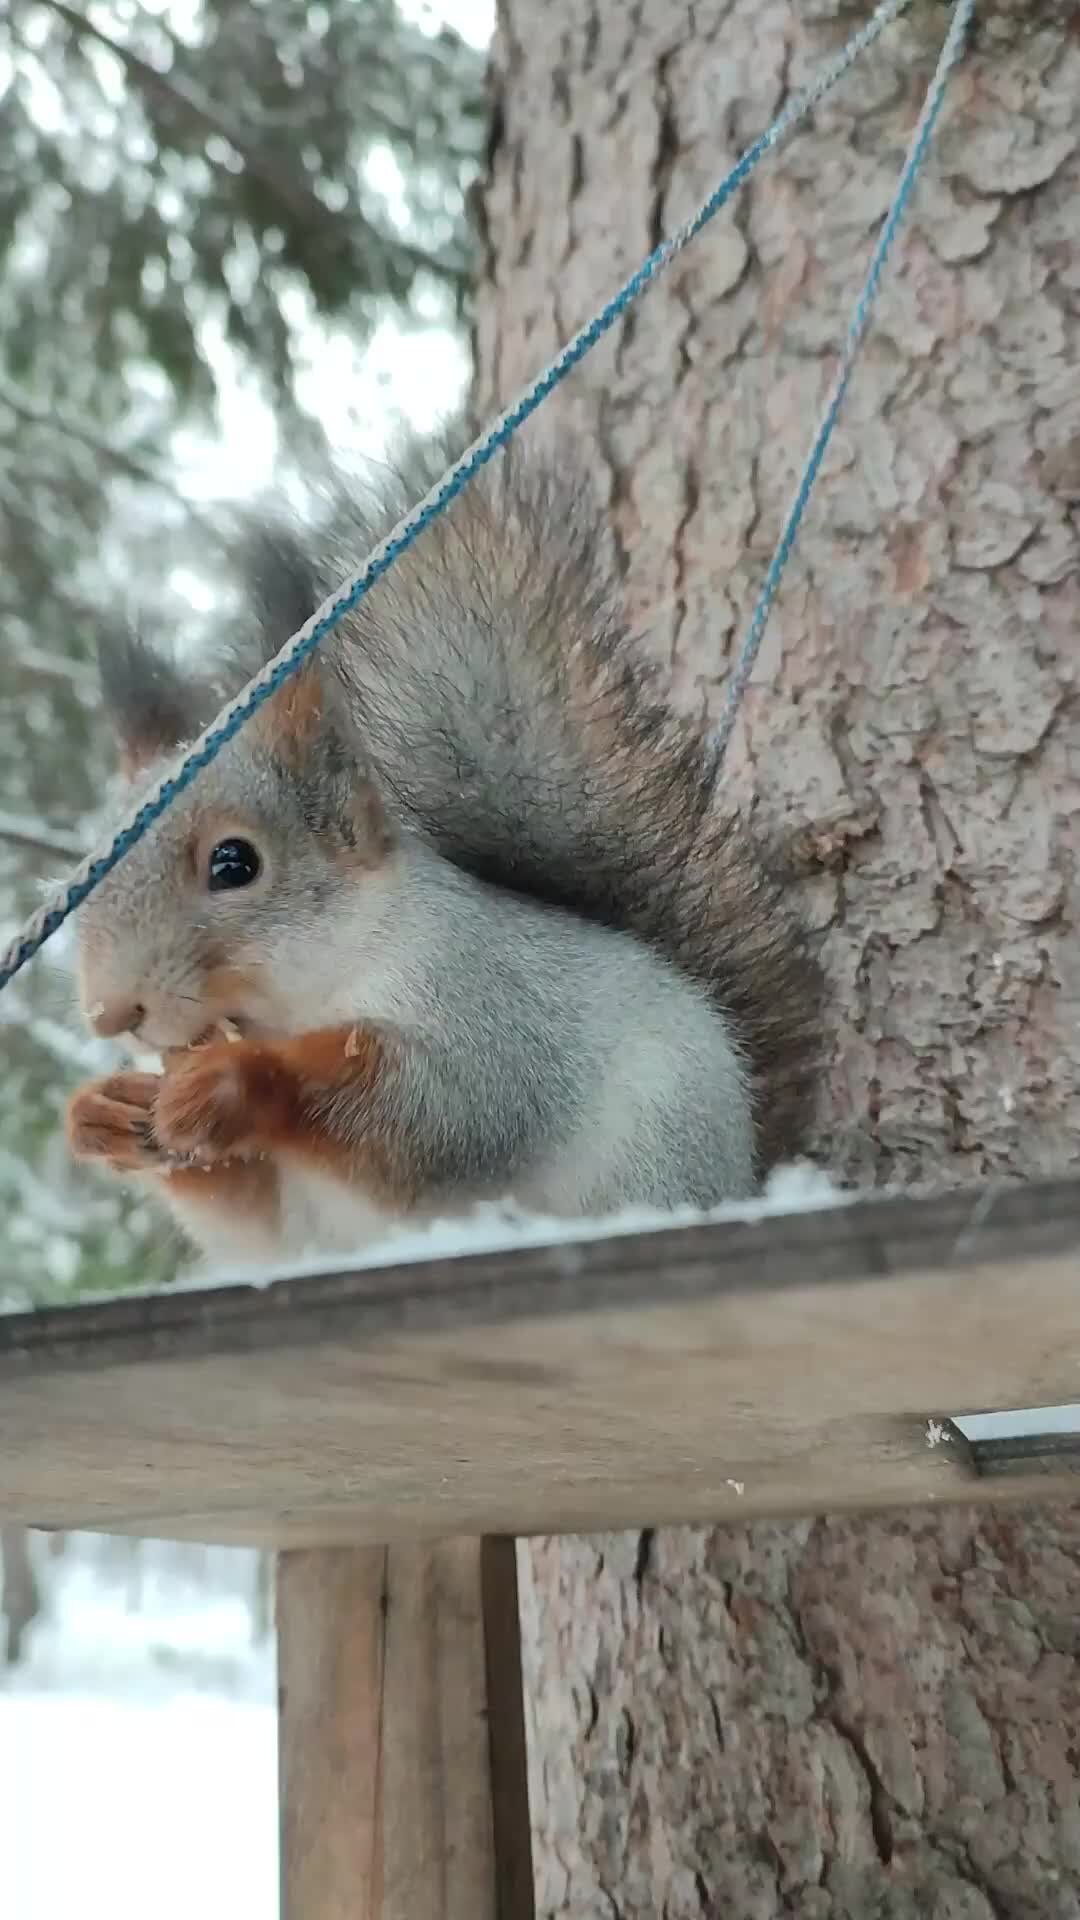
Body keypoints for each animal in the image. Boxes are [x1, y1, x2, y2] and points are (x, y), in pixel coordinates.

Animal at [65, 432, 822, 1274]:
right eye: (84, 870)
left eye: (235, 864)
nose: (110, 1012)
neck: (311, 986)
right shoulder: (291, 1214)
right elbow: (258, 1225)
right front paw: (104, 1111)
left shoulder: (487, 1012)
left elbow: (433, 1120)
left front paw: (238, 1077)